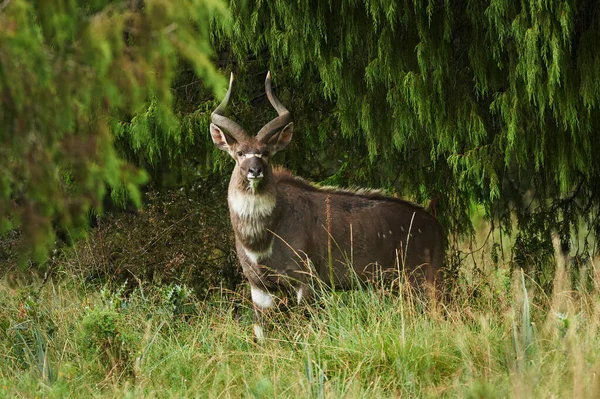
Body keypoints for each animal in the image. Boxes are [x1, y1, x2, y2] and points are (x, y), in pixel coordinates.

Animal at [209, 72, 442, 340]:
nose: (254, 171)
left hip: (423, 281)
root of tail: (437, 227)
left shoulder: (308, 281)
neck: (262, 239)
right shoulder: (259, 286)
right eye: (239, 153)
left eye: (266, 152)